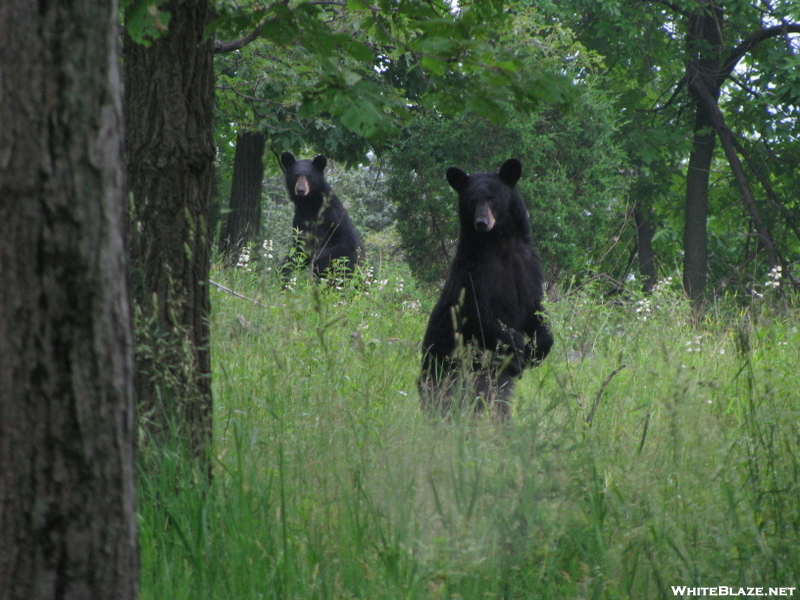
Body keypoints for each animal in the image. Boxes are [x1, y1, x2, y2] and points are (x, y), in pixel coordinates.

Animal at [416, 159, 552, 420]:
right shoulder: (476, 272)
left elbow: (536, 308)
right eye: (471, 200)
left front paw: (539, 348)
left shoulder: (529, 267)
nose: (482, 223)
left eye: (493, 199)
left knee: (499, 403)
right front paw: (518, 347)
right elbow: (482, 314)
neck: (502, 244)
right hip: (448, 372)